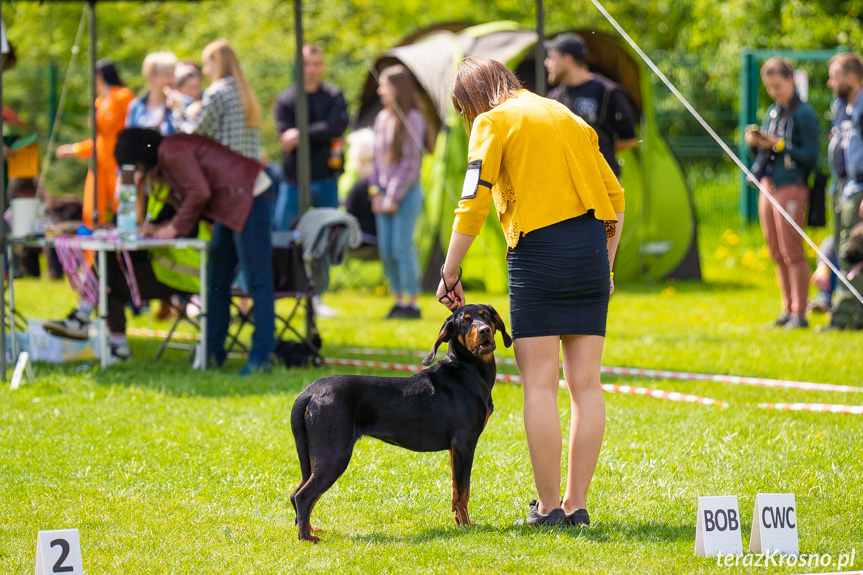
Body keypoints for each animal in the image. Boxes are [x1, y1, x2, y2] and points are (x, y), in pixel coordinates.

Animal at [290, 304, 510, 544]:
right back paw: (306, 537)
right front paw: (466, 526)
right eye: (465, 321)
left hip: (314, 455)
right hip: (334, 454)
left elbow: (455, 490)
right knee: (304, 495)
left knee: (296, 492)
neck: (467, 370)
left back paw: (311, 529)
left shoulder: (454, 449)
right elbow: (463, 490)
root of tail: (309, 393)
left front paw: (461, 523)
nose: (484, 331)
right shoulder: (464, 444)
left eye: (485, 315)